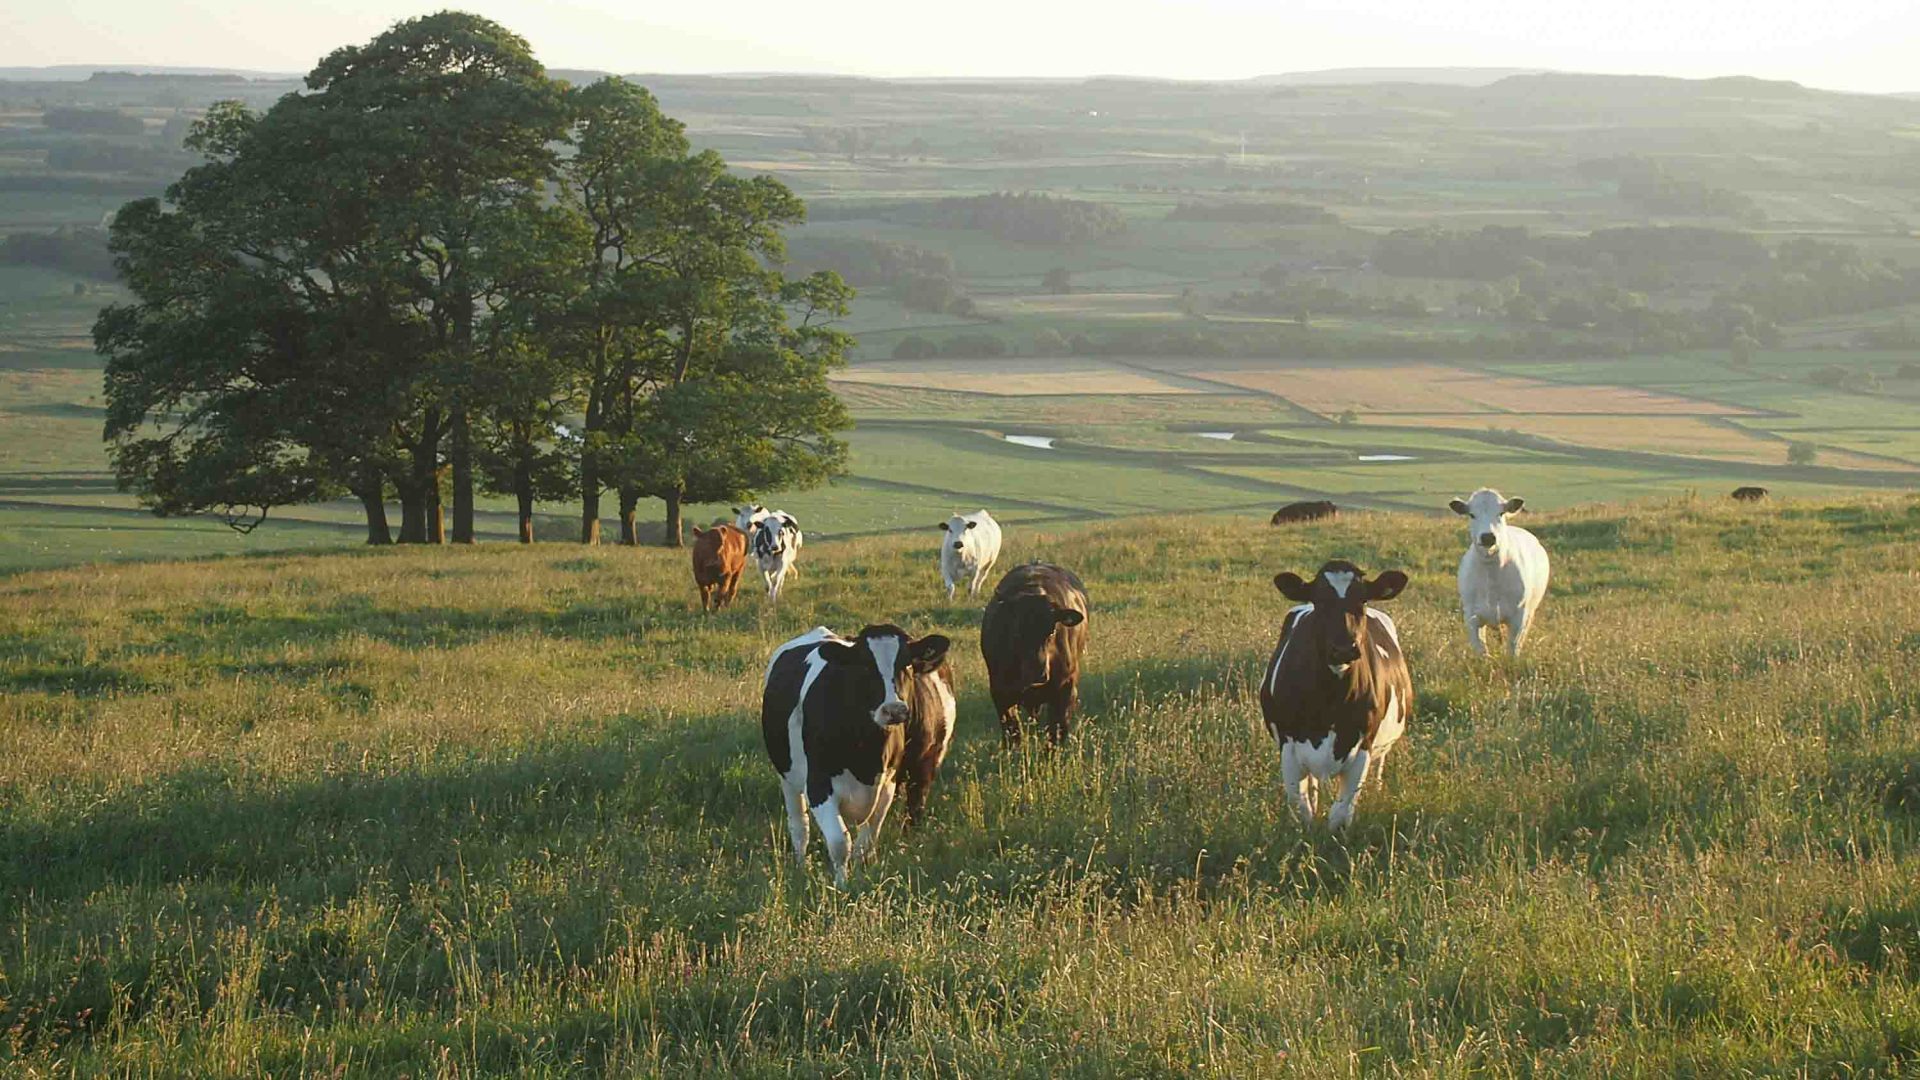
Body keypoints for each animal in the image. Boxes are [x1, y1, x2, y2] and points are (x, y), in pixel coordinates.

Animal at [756, 618, 952, 880]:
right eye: (866, 666)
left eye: (907, 664)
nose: (894, 709)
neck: (867, 752)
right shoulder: (818, 784)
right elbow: (840, 843)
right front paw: (841, 884)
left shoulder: (888, 784)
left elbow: (865, 841)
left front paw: (861, 876)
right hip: (787, 776)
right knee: (799, 826)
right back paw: (800, 866)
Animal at [983, 557, 1090, 745]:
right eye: (1017, 630)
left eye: (1052, 631)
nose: (1038, 673)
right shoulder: (1000, 693)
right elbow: (1013, 733)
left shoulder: (1065, 690)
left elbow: (1056, 734)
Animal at [1259, 557, 1413, 826]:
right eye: (1319, 601)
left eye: (1362, 600)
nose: (1343, 648)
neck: (1329, 700)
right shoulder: (1289, 748)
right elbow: (1302, 811)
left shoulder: (1363, 747)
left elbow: (1340, 814)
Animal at [1443, 488, 1551, 657]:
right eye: (1472, 515)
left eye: (1501, 513)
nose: (1488, 537)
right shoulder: (1471, 616)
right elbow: (1481, 651)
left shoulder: (1519, 615)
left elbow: (1513, 648)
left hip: (1531, 610)